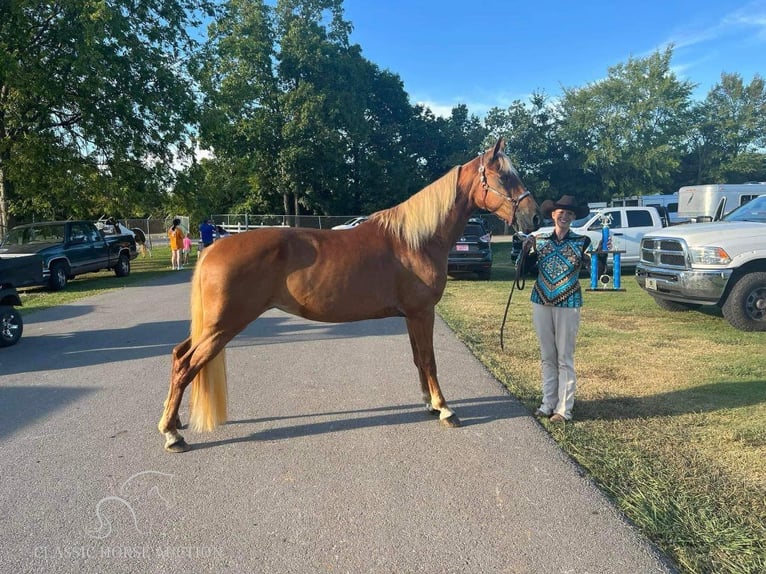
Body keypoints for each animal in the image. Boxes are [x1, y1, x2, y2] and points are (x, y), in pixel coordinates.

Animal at [158, 141, 540, 454]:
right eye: (503, 176)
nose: (533, 216)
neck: (415, 240)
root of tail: (214, 248)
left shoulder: (411, 316)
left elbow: (419, 360)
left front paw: (430, 404)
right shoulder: (422, 313)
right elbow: (430, 361)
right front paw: (445, 408)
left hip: (212, 326)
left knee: (178, 355)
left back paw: (174, 423)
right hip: (222, 326)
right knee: (186, 365)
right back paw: (172, 435)